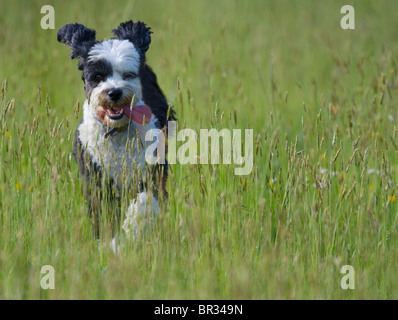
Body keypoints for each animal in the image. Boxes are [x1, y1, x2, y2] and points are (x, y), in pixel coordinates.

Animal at [56, 20, 175, 240]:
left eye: (128, 75)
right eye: (98, 76)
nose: (114, 92)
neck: (117, 131)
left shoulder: (149, 170)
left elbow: (144, 199)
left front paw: (132, 228)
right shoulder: (96, 175)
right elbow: (103, 211)